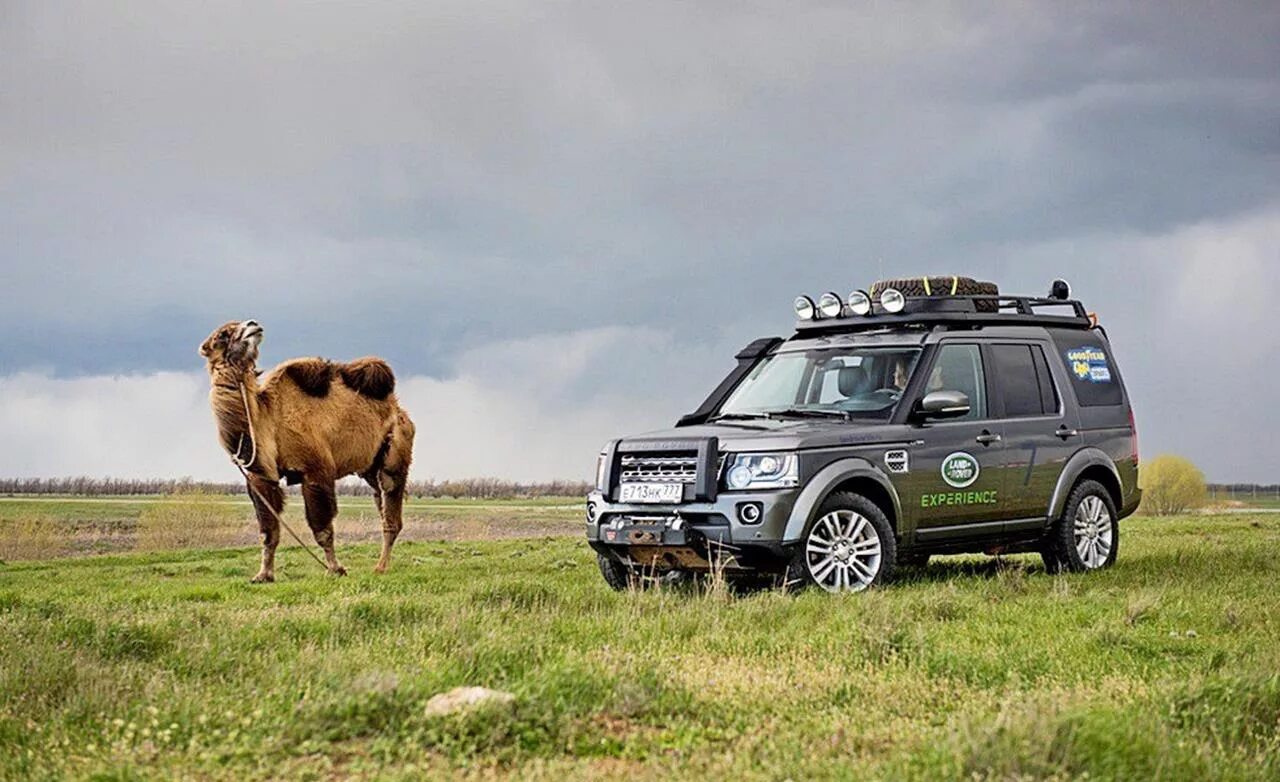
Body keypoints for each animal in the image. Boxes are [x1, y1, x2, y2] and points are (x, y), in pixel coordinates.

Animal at [197, 318, 414, 581]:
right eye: (222, 334)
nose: (253, 324)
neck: (268, 418)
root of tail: (399, 410)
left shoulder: (315, 470)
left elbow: (322, 529)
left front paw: (335, 569)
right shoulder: (260, 478)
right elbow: (268, 531)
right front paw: (263, 575)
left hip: (397, 448)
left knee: (391, 501)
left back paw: (381, 567)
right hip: (370, 467)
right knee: (379, 499)